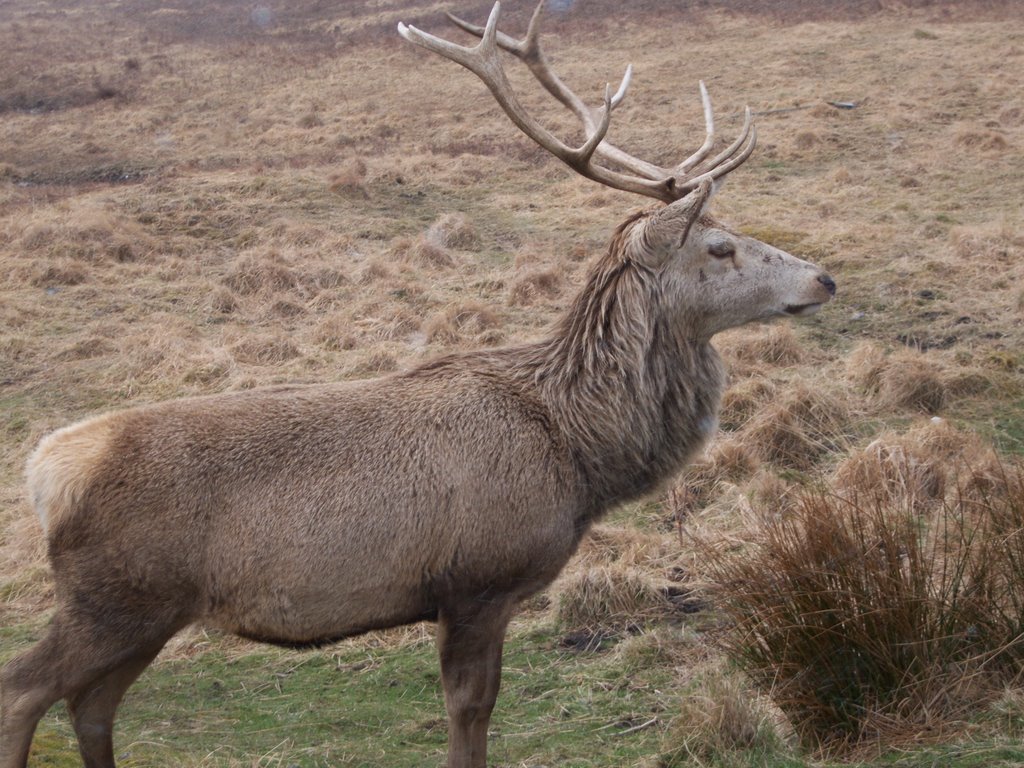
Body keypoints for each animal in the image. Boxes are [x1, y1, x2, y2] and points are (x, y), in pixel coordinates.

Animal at [0, 3, 831, 765]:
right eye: (719, 248)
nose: (823, 277)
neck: (577, 450)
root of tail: (44, 471)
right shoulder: (476, 581)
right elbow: (470, 714)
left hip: (144, 608)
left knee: (91, 705)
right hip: (113, 595)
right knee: (25, 688)